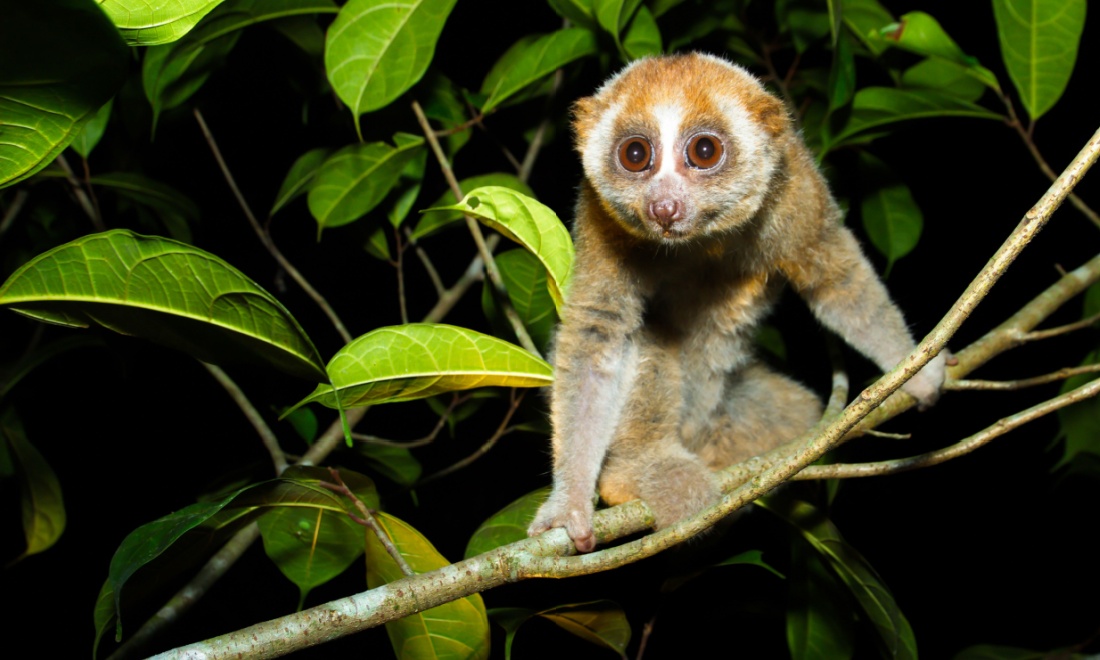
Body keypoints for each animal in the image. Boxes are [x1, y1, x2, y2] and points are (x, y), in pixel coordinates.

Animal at [526, 53, 946, 553]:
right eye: (635, 155)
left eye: (705, 151)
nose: (663, 207)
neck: (703, 238)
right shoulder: (599, 220)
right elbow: (598, 334)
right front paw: (569, 503)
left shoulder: (795, 186)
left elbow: (837, 279)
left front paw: (917, 372)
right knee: (649, 336)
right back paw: (640, 471)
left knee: (797, 411)